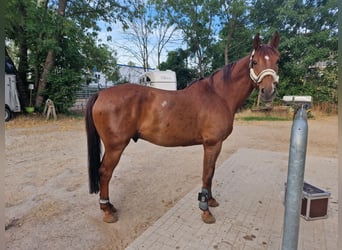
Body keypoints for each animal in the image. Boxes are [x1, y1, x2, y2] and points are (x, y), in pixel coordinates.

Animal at [85, 31, 280, 225]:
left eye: (277, 60)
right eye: (254, 62)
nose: (268, 91)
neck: (219, 95)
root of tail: (101, 93)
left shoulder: (215, 145)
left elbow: (211, 172)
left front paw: (211, 200)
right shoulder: (212, 144)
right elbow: (207, 174)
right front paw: (205, 210)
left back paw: (109, 207)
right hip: (115, 147)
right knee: (105, 172)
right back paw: (107, 210)